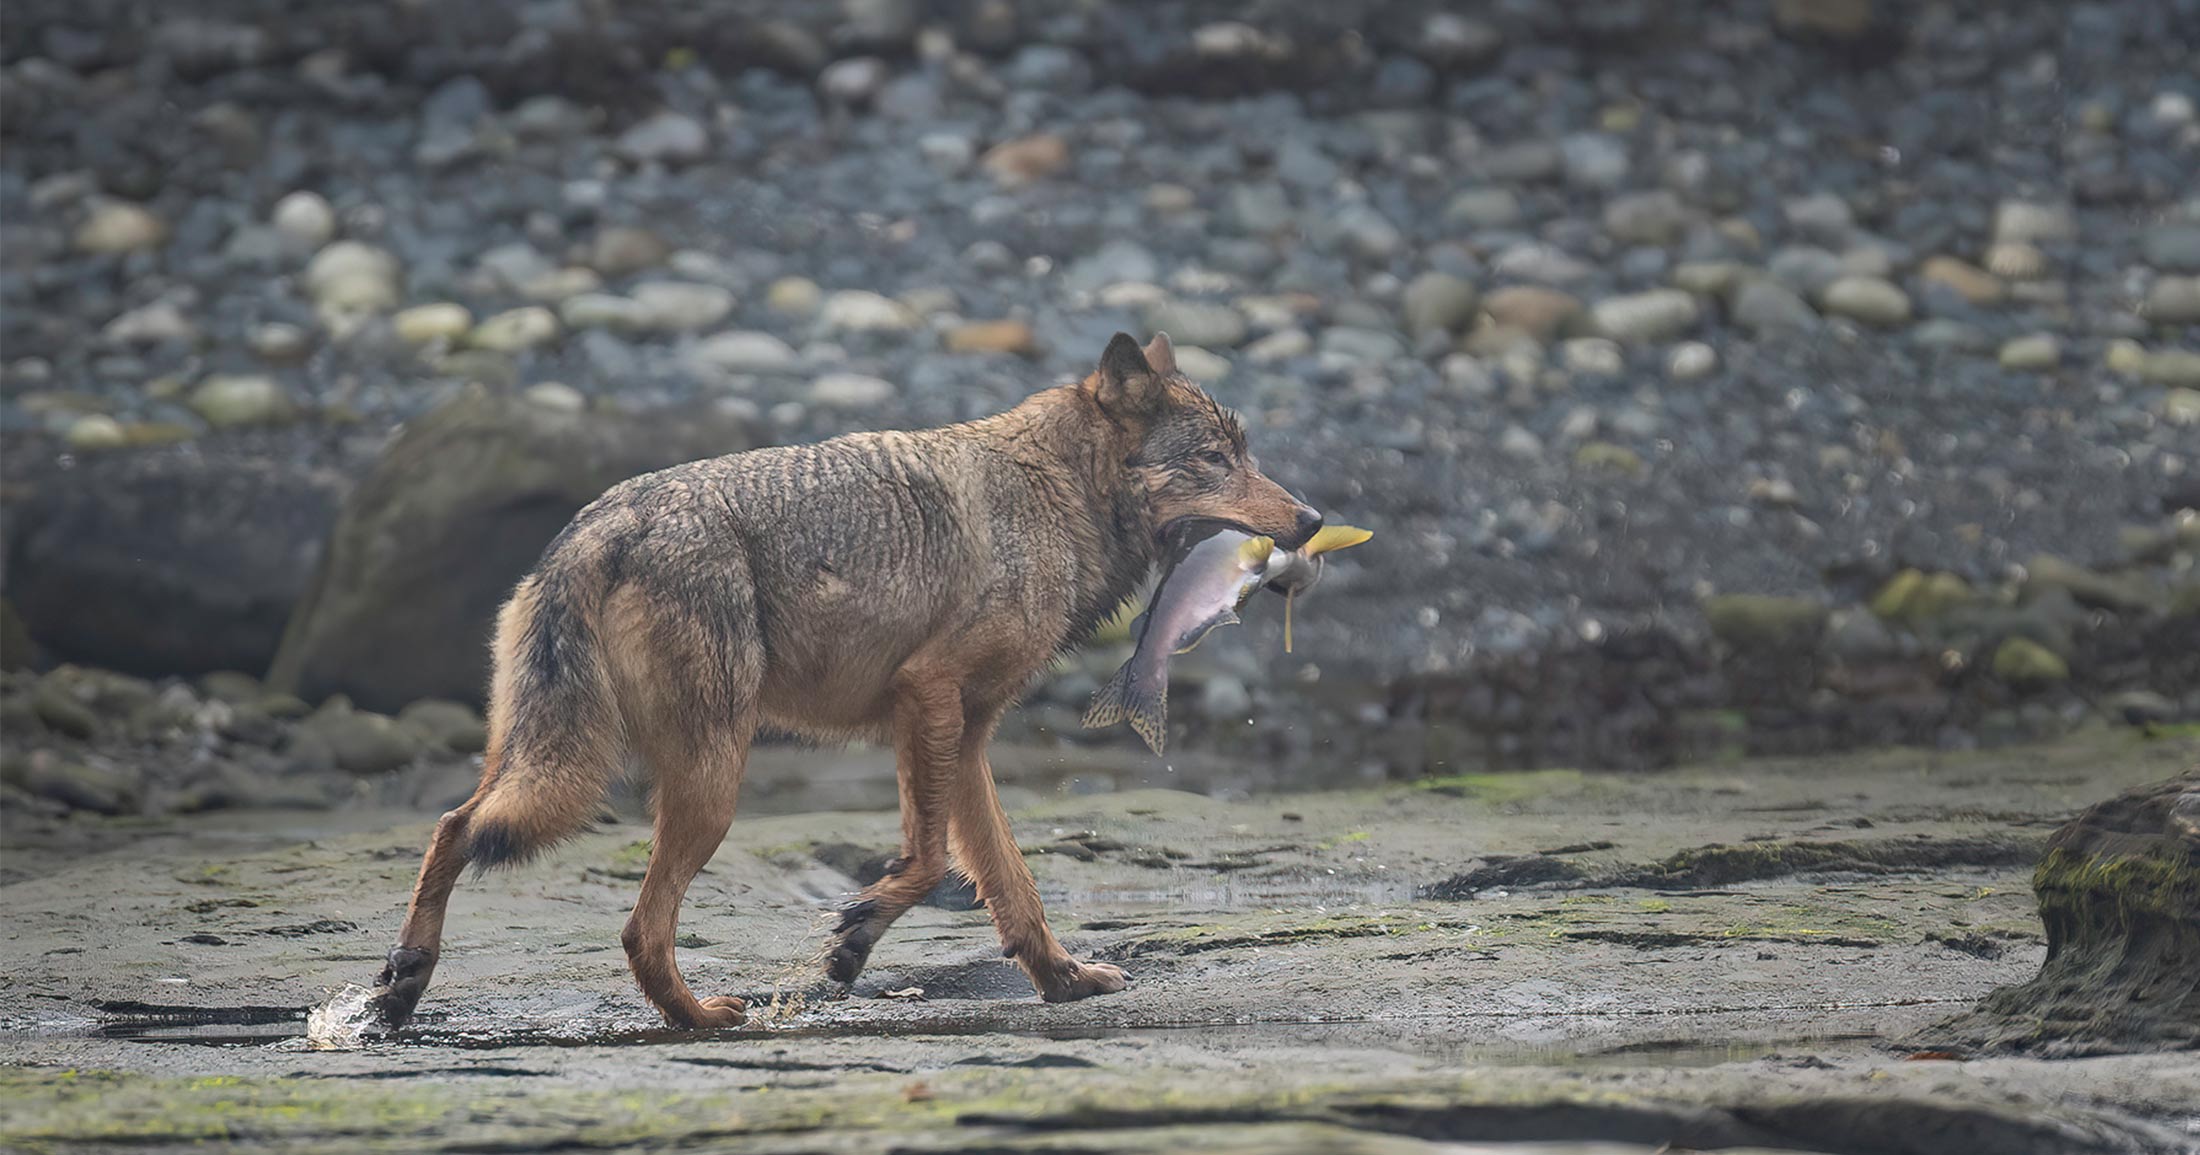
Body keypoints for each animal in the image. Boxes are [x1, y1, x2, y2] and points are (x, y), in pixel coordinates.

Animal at [371, 332, 1321, 1030]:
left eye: (1247, 454)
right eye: (1214, 458)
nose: (1313, 518)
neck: (1055, 495)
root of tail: (599, 525)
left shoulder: (969, 734)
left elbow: (1011, 885)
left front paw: (1063, 979)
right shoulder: (928, 695)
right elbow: (930, 858)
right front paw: (855, 939)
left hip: (559, 761)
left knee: (454, 826)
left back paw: (402, 985)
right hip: (701, 783)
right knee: (638, 924)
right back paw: (703, 1018)